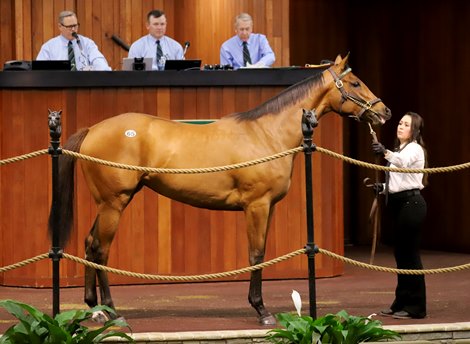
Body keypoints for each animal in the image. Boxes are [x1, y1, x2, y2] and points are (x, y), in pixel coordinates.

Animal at [49, 54, 392, 326]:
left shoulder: (268, 207)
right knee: (101, 250)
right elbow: (256, 253)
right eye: (356, 83)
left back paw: (95, 310)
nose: (384, 111)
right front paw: (261, 310)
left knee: (90, 244)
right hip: (113, 203)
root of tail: (92, 129)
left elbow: (260, 252)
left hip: (109, 203)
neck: (266, 134)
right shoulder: (257, 205)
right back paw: (113, 312)